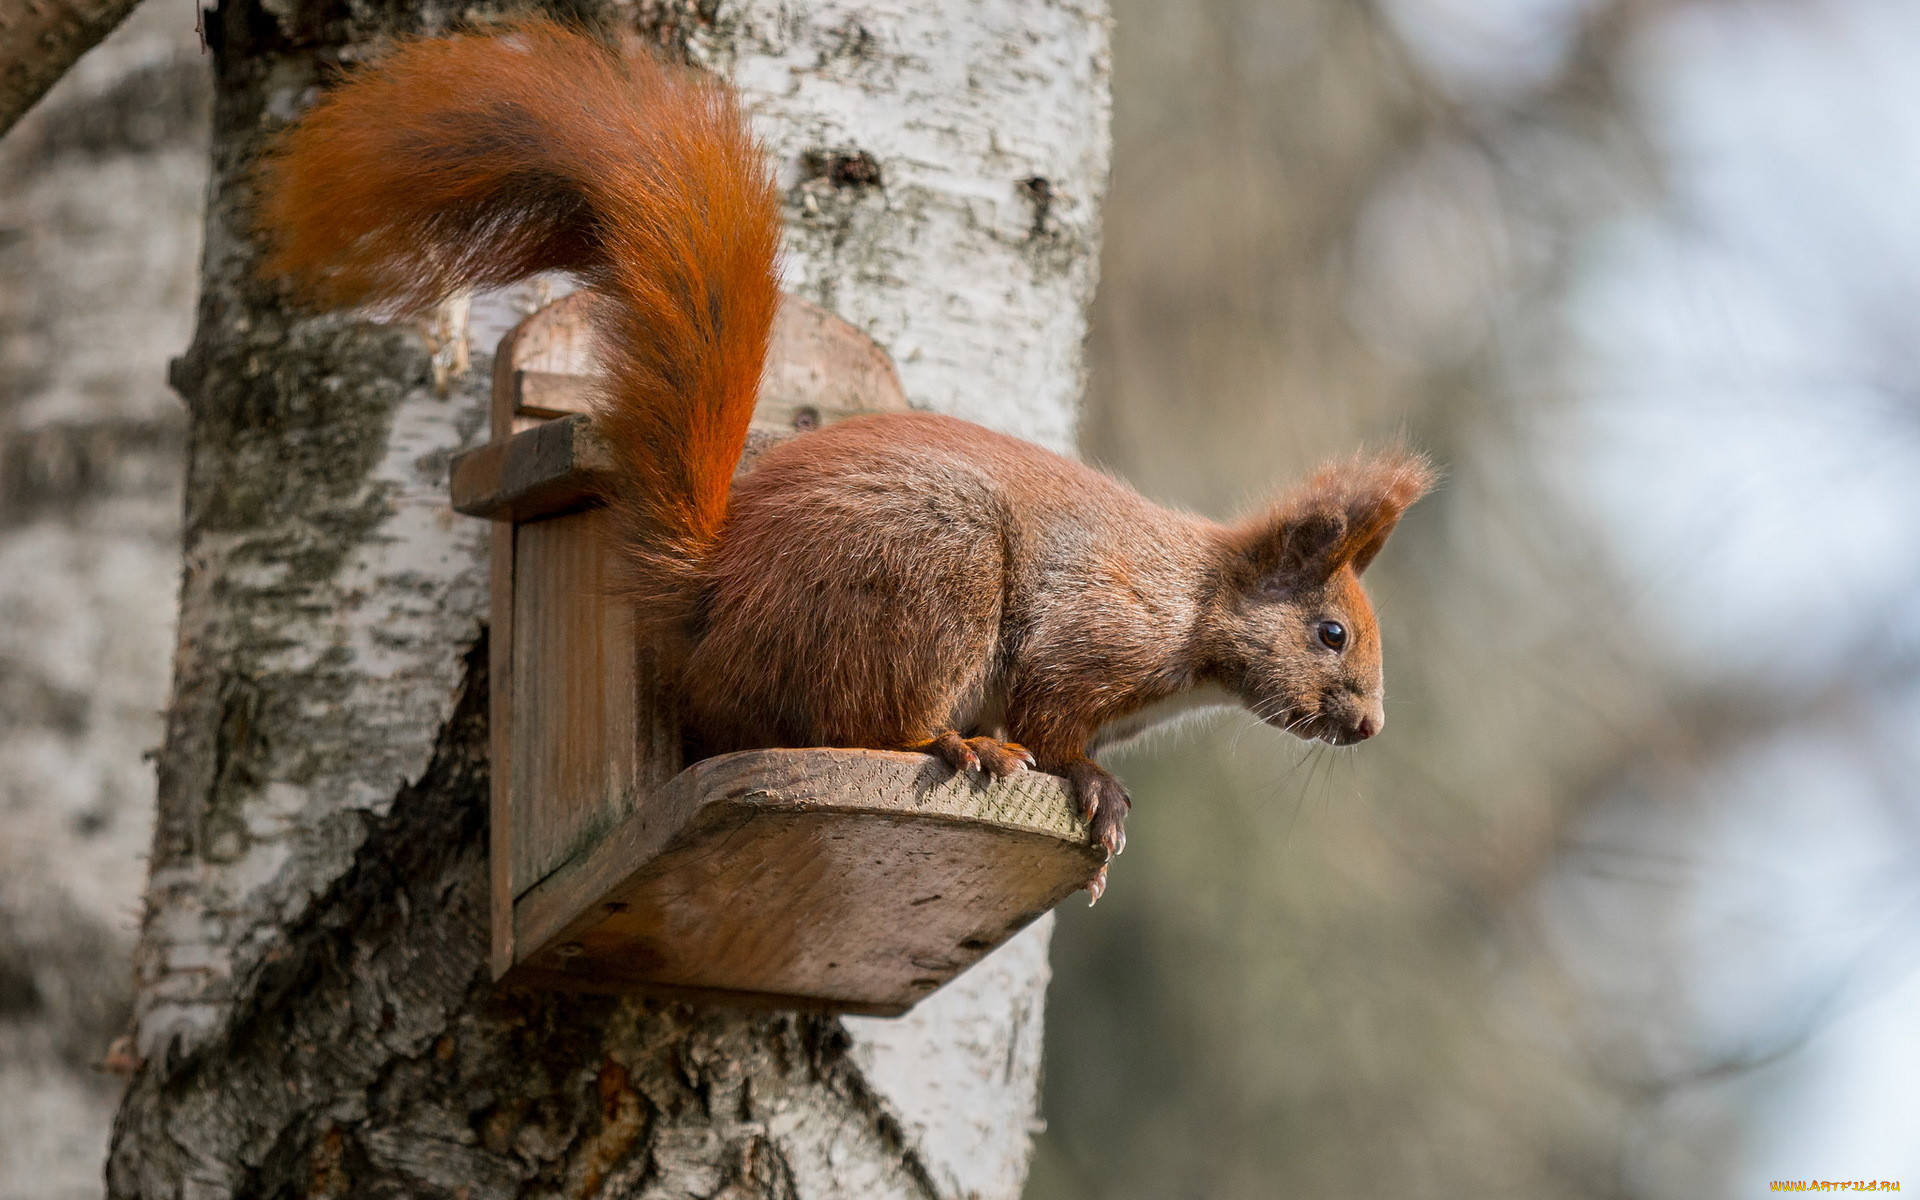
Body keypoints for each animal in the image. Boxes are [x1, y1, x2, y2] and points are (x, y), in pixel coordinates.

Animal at [251, 18, 1428, 890]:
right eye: (1330, 633)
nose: (1372, 726)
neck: (1194, 609)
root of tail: (711, 610)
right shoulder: (1095, 629)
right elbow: (1054, 714)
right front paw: (1092, 785)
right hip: (927, 575)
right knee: (856, 721)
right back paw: (953, 746)